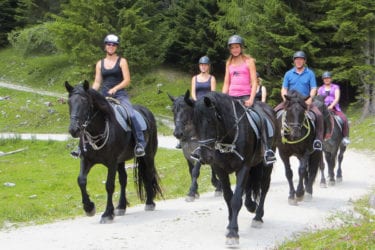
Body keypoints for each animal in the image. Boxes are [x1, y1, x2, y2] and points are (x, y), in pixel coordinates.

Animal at [65, 81, 162, 224]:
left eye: (85, 102)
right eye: (69, 102)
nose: (74, 129)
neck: (98, 131)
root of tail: (146, 112)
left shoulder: (111, 162)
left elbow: (109, 186)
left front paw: (107, 214)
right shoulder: (86, 160)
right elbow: (81, 180)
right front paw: (89, 208)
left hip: (148, 155)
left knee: (149, 174)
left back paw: (149, 202)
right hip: (121, 161)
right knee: (123, 180)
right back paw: (121, 206)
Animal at [192, 92, 278, 246]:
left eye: (211, 121)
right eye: (195, 123)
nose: (204, 156)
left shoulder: (243, 167)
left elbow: (236, 199)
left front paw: (233, 232)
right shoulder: (220, 169)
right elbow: (228, 197)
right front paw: (230, 226)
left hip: (266, 163)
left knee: (264, 187)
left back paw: (258, 216)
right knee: (250, 185)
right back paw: (251, 205)